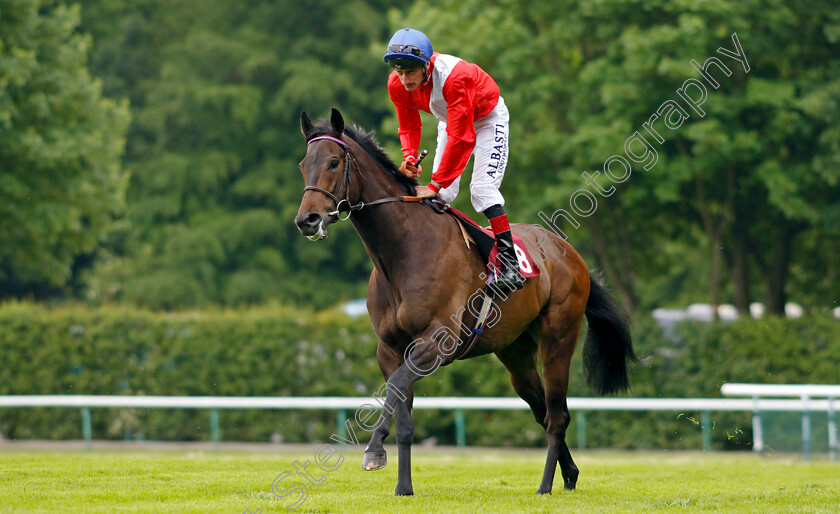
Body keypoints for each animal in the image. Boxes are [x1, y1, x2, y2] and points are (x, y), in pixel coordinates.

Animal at [296, 109, 632, 496]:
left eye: (334, 162)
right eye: (303, 164)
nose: (307, 220)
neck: (402, 252)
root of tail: (571, 254)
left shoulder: (435, 343)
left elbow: (395, 388)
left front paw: (374, 450)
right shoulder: (390, 348)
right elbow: (403, 414)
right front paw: (403, 487)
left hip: (558, 338)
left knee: (558, 416)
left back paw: (545, 486)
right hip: (515, 353)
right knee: (543, 411)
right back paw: (570, 474)